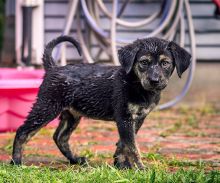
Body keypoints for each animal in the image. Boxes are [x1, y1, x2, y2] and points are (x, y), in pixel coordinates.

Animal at [10, 35, 190, 169]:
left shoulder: (137, 119)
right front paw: (140, 168)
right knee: (22, 131)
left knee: (60, 137)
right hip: (46, 107)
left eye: (165, 63)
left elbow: (124, 144)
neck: (136, 84)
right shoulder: (124, 118)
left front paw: (121, 164)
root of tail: (53, 68)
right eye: (144, 62)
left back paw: (75, 160)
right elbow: (132, 146)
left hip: (72, 114)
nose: (154, 81)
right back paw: (16, 162)